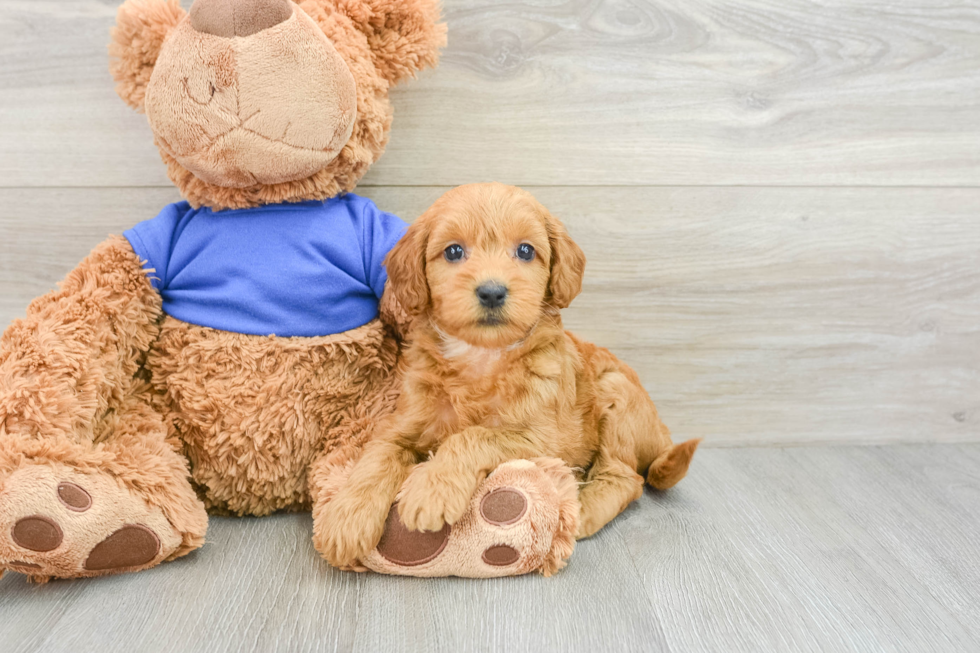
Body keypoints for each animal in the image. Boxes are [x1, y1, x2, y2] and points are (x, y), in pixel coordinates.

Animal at [318, 182, 700, 564]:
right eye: (454, 251)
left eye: (526, 251)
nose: (492, 292)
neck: (481, 357)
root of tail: (662, 435)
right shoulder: (401, 422)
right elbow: (376, 458)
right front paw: (346, 519)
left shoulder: (544, 439)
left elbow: (473, 436)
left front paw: (431, 490)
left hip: (616, 393)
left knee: (626, 477)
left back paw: (580, 509)